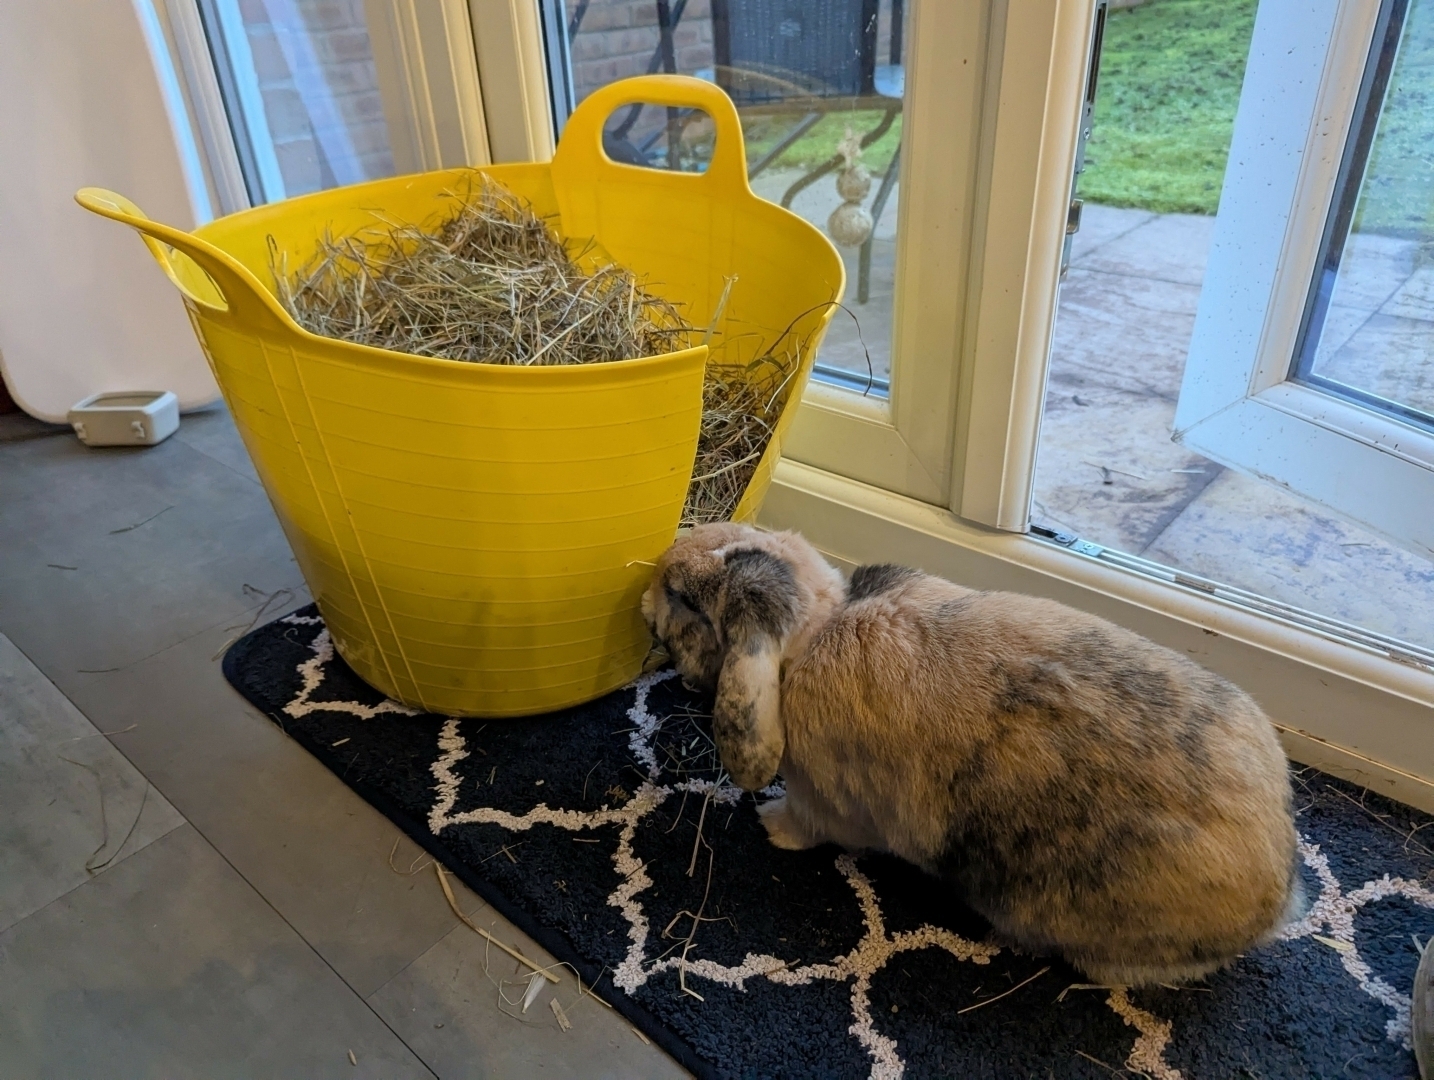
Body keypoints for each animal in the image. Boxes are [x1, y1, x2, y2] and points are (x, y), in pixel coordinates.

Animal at [645, 519, 1307, 986]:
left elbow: (808, 825)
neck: (815, 631)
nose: (647, 597)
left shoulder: (822, 802)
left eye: (686, 600)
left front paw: (769, 825)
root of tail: (1278, 892)